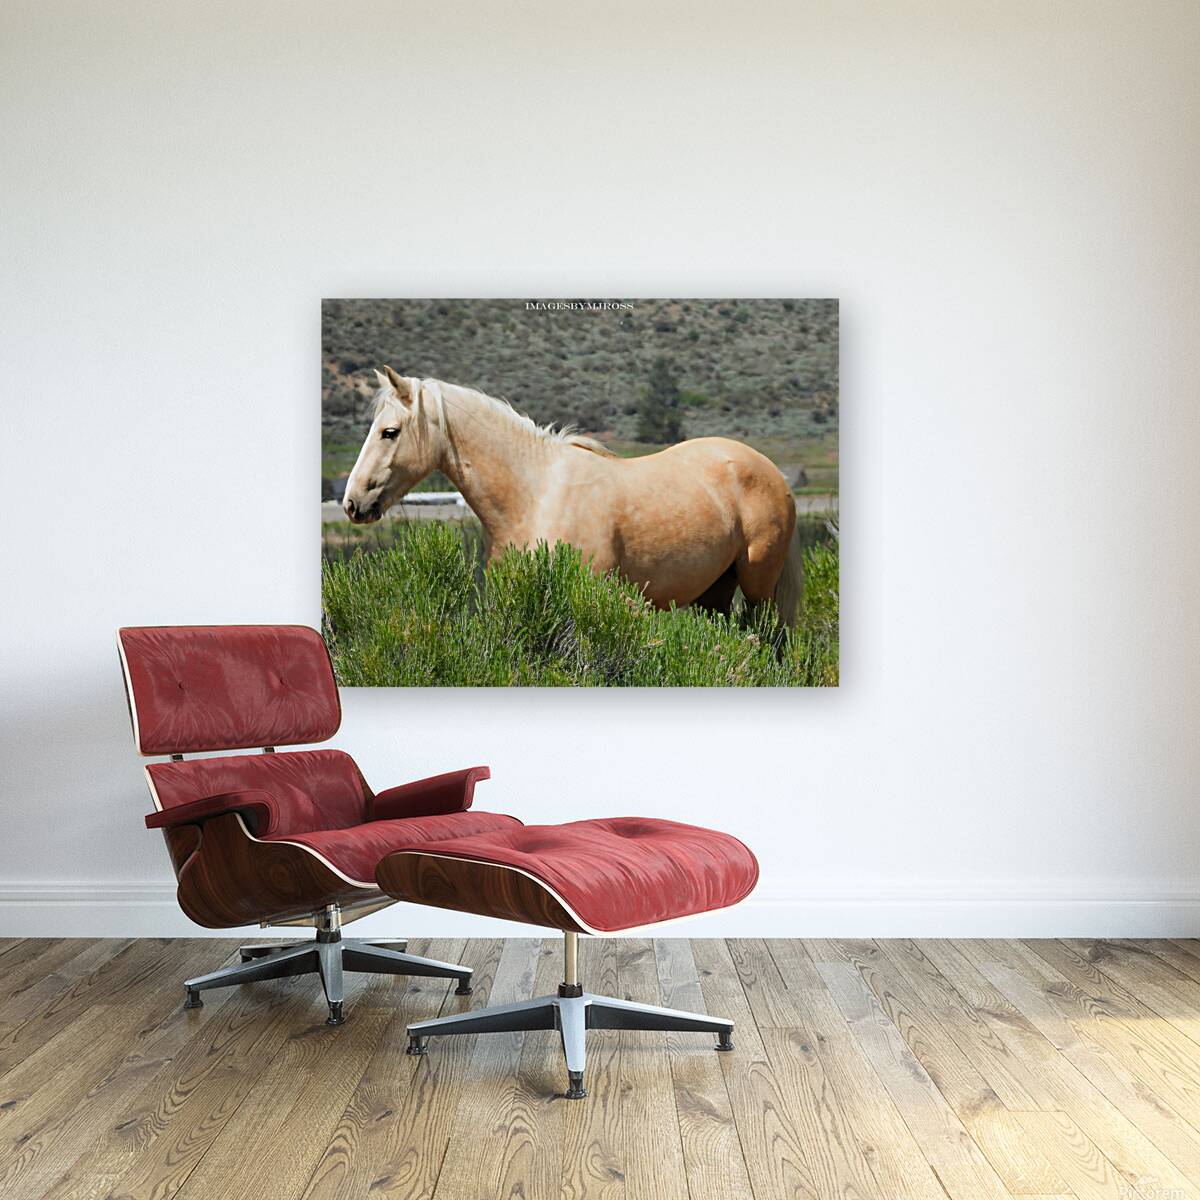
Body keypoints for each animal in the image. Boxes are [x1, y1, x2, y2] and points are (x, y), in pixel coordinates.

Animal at [342, 367, 803, 627]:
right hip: (715, 591)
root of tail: (772, 472)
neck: (536, 494)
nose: (352, 502)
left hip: (758, 586)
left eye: (389, 432)